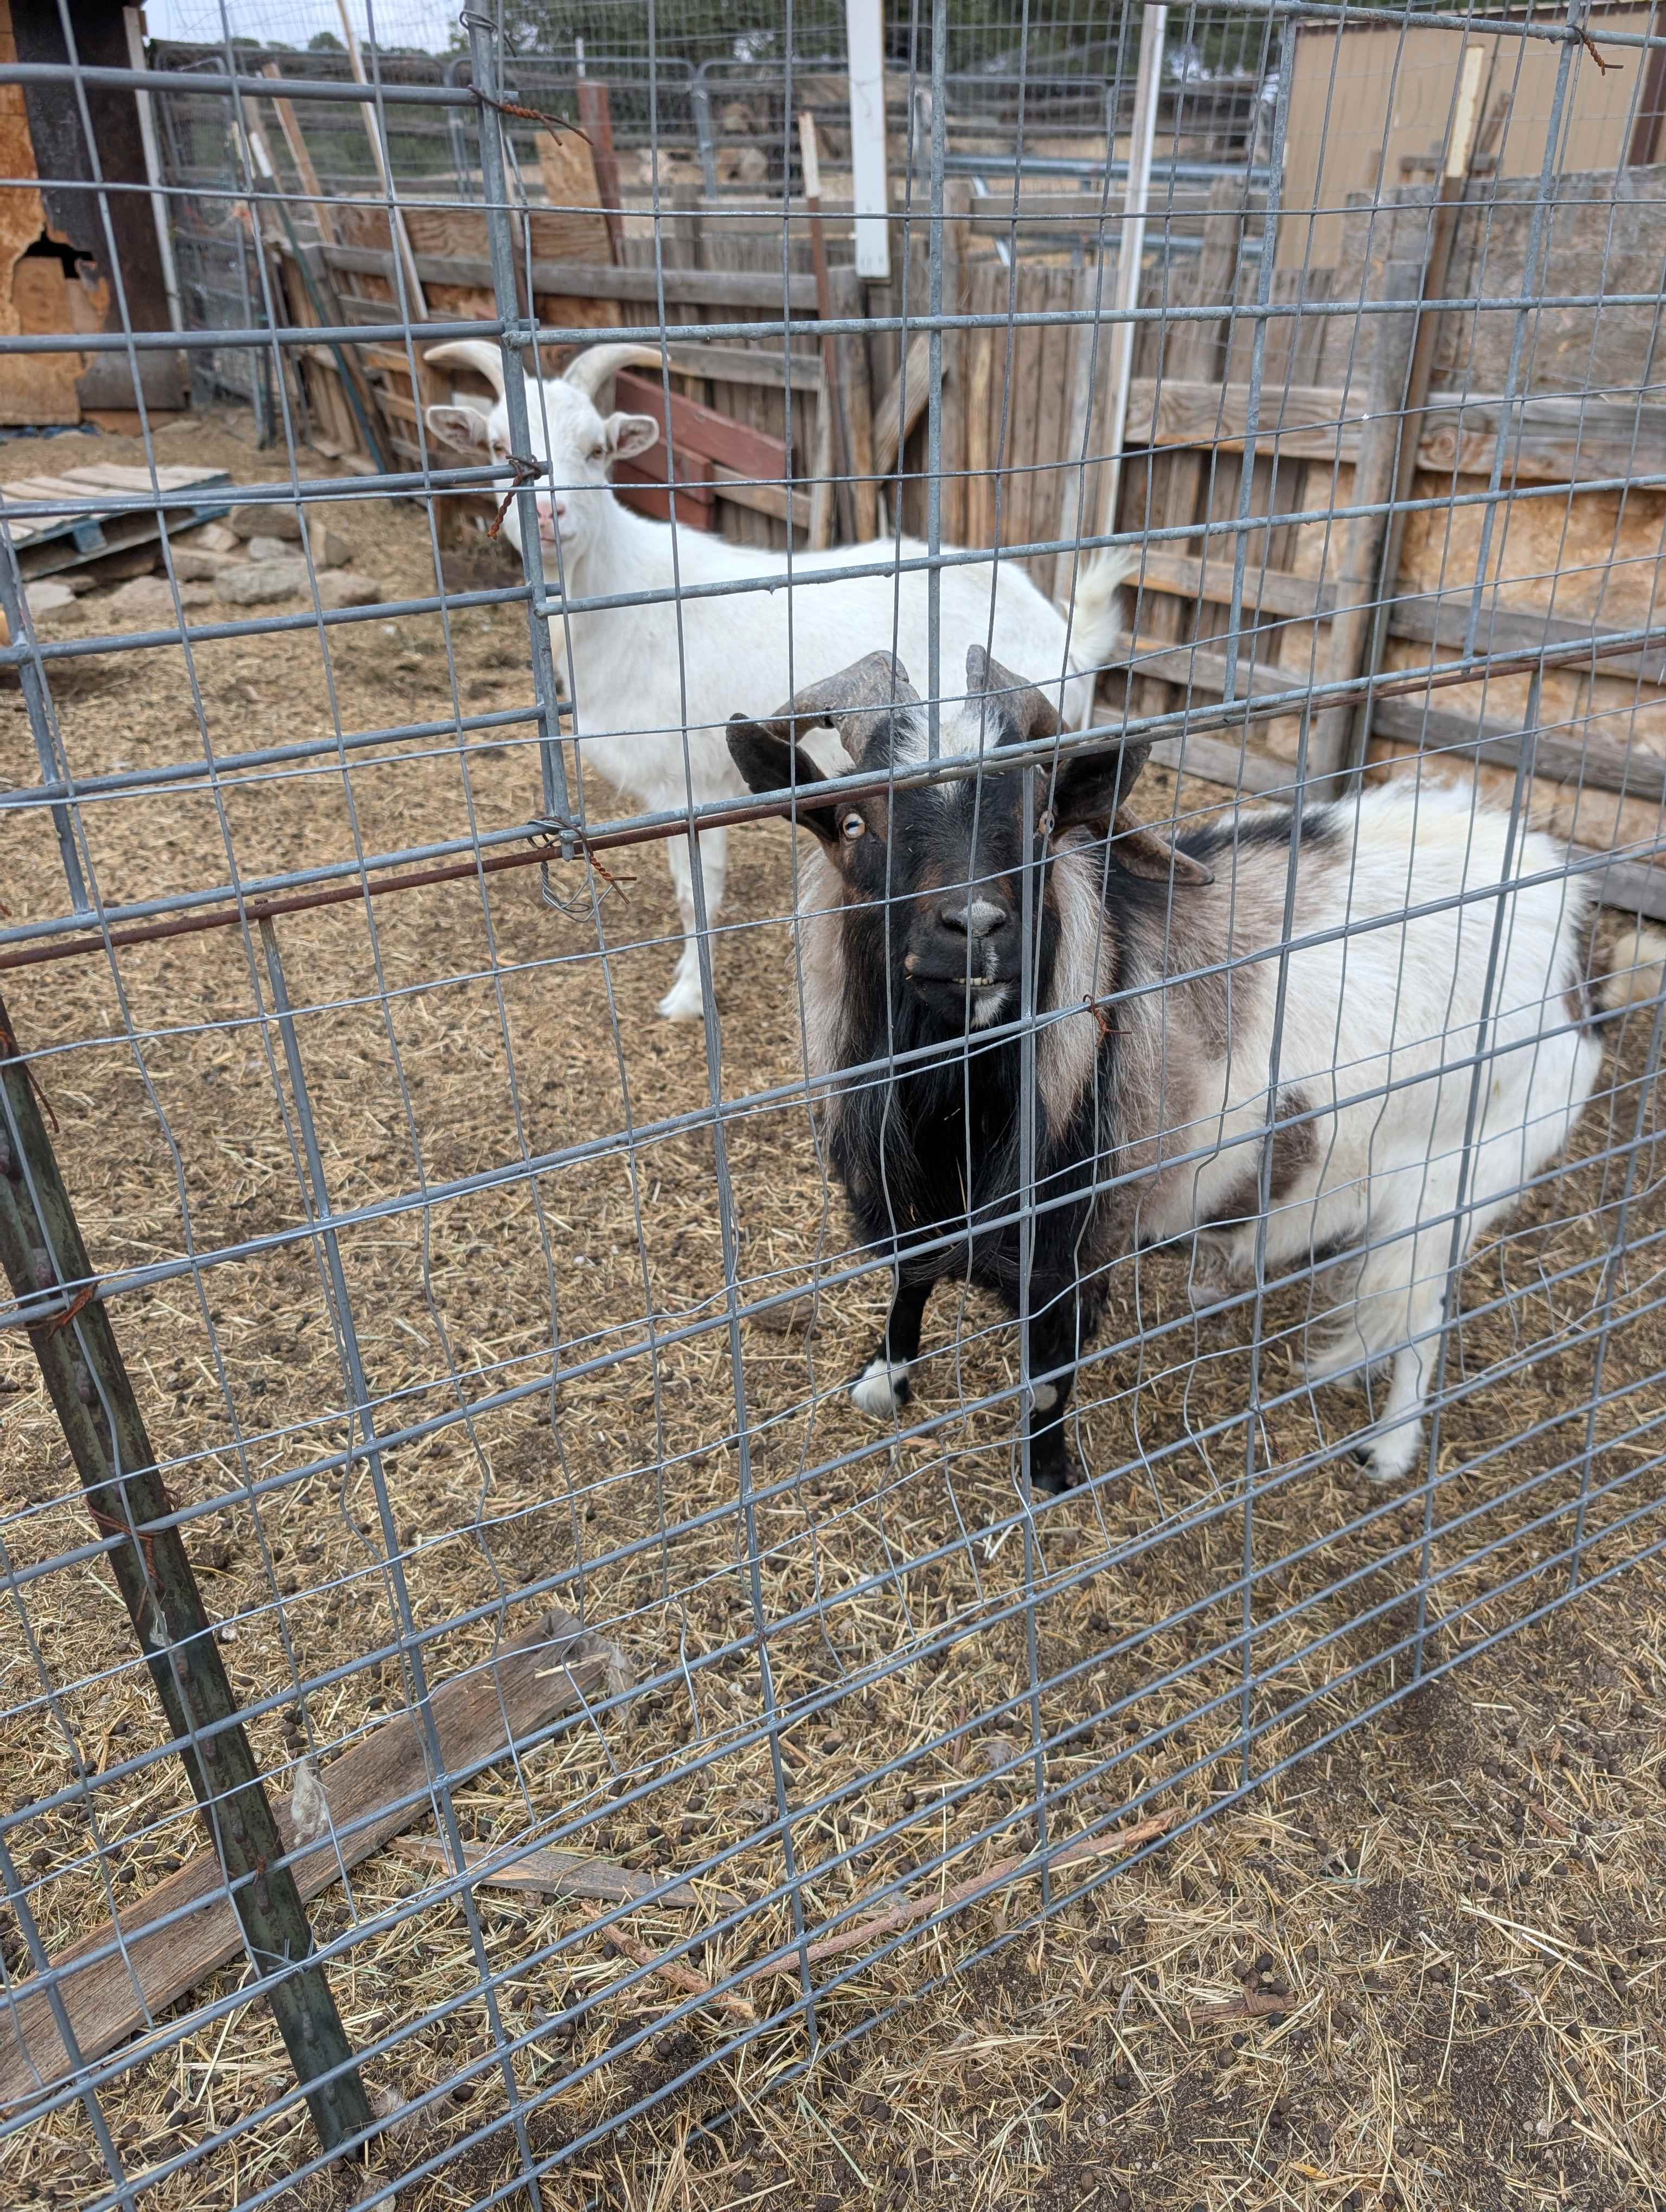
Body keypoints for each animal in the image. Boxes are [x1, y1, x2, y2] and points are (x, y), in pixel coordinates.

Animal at [422, 338, 1133, 1021]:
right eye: (497, 449)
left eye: (597, 450)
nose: (551, 517)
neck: (622, 598)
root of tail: (1064, 632)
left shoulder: (686, 787)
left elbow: (696, 896)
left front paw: (689, 998)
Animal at [726, 650, 1602, 1491]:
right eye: (852, 822)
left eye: (1042, 818)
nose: (975, 928)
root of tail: (1559, 906)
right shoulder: (912, 1199)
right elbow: (912, 1279)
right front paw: (884, 1383)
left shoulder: (1075, 1243)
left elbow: (1050, 1373)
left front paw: (1048, 1477)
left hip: (1459, 1177)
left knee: (1421, 1313)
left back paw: (1387, 1450)